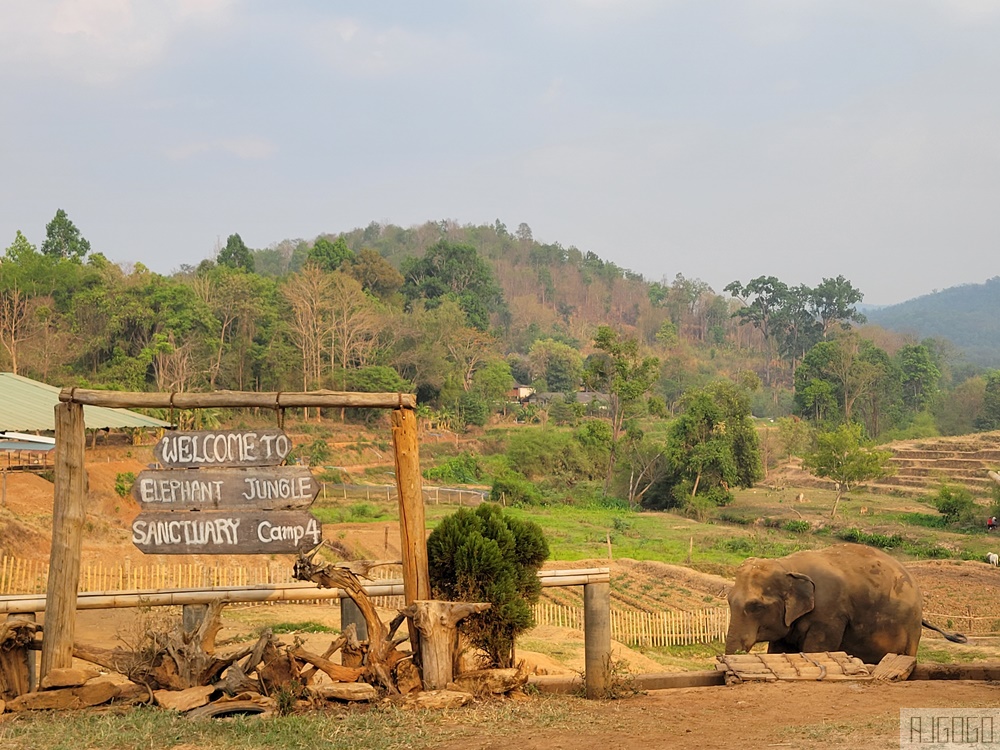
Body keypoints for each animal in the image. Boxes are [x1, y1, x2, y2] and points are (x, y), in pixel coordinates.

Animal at [725, 543, 966, 664]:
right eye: (728, 601)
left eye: (756, 606)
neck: (788, 565)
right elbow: (779, 651)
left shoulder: (829, 615)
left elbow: (815, 651)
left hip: (911, 632)